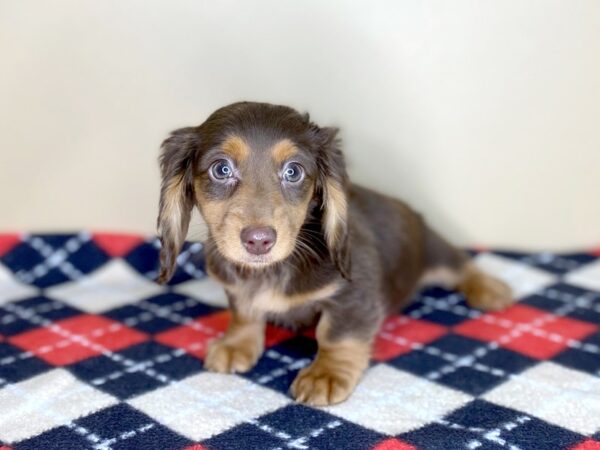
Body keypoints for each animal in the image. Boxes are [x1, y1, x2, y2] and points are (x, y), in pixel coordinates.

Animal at [157, 103, 512, 406]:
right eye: (221, 169)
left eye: (293, 172)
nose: (259, 240)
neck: (274, 268)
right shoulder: (238, 290)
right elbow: (244, 312)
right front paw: (236, 344)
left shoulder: (355, 296)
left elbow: (335, 335)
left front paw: (325, 374)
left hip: (433, 251)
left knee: (462, 265)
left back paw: (489, 288)